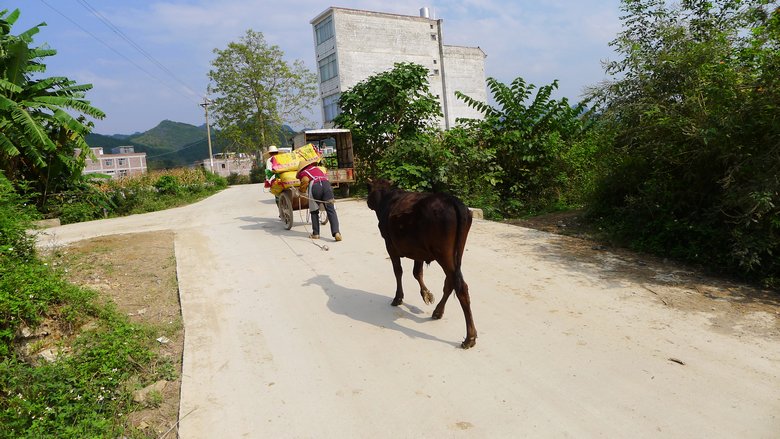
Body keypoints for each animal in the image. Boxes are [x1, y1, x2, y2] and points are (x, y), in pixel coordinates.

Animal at [366, 180, 476, 348]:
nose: (367, 202)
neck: (387, 198)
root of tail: (451, 199)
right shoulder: (418, 251)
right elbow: (417, 273)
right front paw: (426, 294)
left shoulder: (390, 245)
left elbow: (398, 271)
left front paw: (398, 298)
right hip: (456, 254)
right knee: (451, 282)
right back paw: (438, 311)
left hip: (442, 253)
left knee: (461, 287)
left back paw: (470, 337)